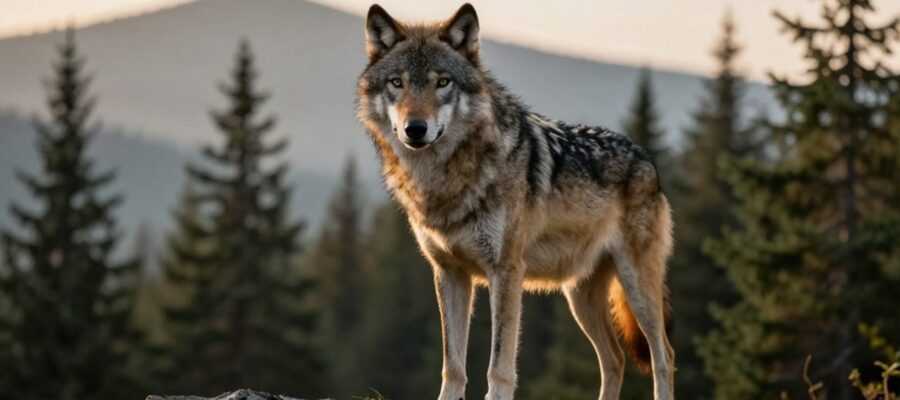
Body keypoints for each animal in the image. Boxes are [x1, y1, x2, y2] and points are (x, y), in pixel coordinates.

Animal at [355, 4, 675, 400]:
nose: (416, 128)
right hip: (579, 296)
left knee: (663, 357)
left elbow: (499, 367)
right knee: (614, 359)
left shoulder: (506, 272)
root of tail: (646, 157)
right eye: (397, 83)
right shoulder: (450, 273)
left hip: (637, 286)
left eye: (442, 82)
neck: (447, 179)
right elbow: (452, 366)